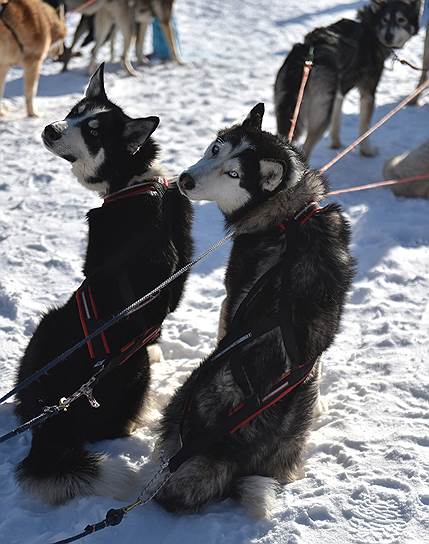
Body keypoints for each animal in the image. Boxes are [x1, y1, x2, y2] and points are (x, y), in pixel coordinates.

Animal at [151, 104, 354, 516]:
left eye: (233, 174)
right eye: (215, 149)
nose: (186, 180)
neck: (290, 212)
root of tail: (225, 447)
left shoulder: (232, 299)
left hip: (189, 391)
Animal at [274, 0, 422, 157]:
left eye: (401, 20)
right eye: (384, 20)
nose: (389, 36)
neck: (369, 29)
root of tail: (302, 59)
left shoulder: (338, 95)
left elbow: (337, 122)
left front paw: (336, 144)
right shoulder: (368, 94)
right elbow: (365, 127)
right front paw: (367, 151)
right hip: (320, 119)